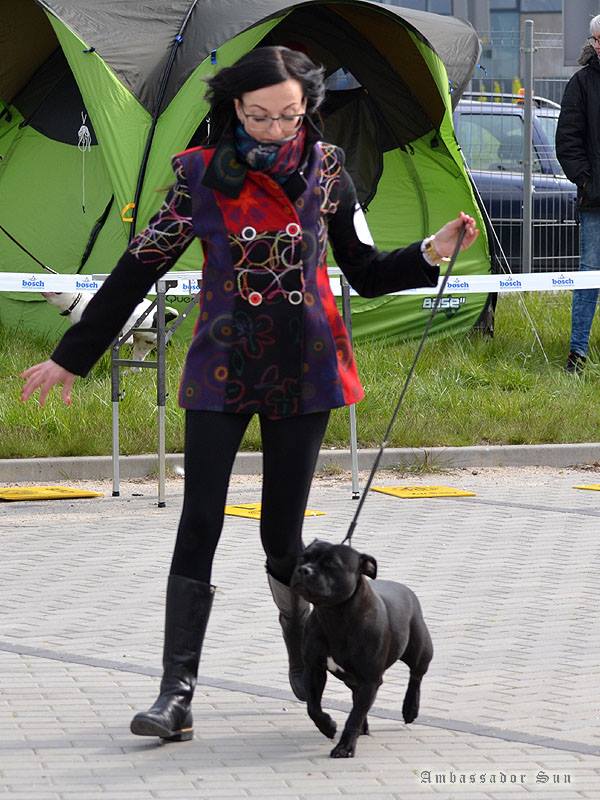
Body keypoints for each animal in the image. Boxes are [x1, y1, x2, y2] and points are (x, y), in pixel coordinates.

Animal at [42, 292, 178, 368]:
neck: (78, 301)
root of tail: (159, 316)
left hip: (131, 322)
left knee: (127, 339)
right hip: (142, 345)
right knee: (136, 367)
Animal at [290, 539, 433, 758]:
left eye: (331, 564)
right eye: (303, 558)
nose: (304, 570)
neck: (334, 616)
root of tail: (406, 590)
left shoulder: (370, 679)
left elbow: (354, 717)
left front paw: (344, 747)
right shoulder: (314, 669)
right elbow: (313, 707)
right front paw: (328, 726)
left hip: (420, 650)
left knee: (416, 676)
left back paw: (410, 709)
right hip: (353, 679)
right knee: (356, 697)